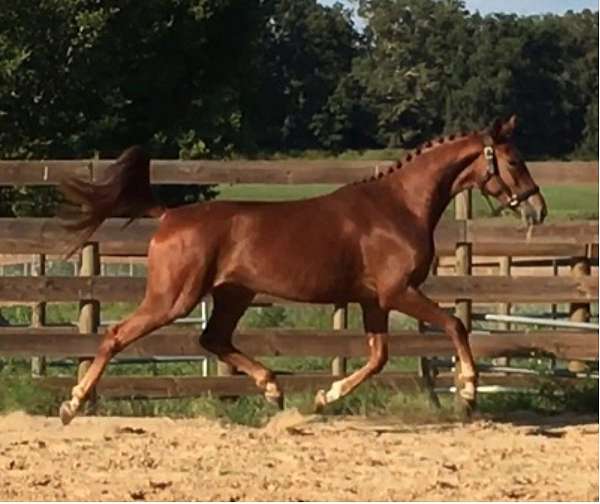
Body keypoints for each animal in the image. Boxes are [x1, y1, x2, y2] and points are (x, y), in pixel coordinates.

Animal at [58, 116, 548, 424]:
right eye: (515, 161)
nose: (538, 210)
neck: (399, 206)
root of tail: (169, 216)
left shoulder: (373, 300)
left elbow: (378, 357)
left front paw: (323, 397)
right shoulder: (398, 292)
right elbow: (454, 325)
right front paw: (467, 392)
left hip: (233, 294)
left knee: (213, 339)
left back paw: (274, 390)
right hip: (173, 297)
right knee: (116, 335)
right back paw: (72, 404)